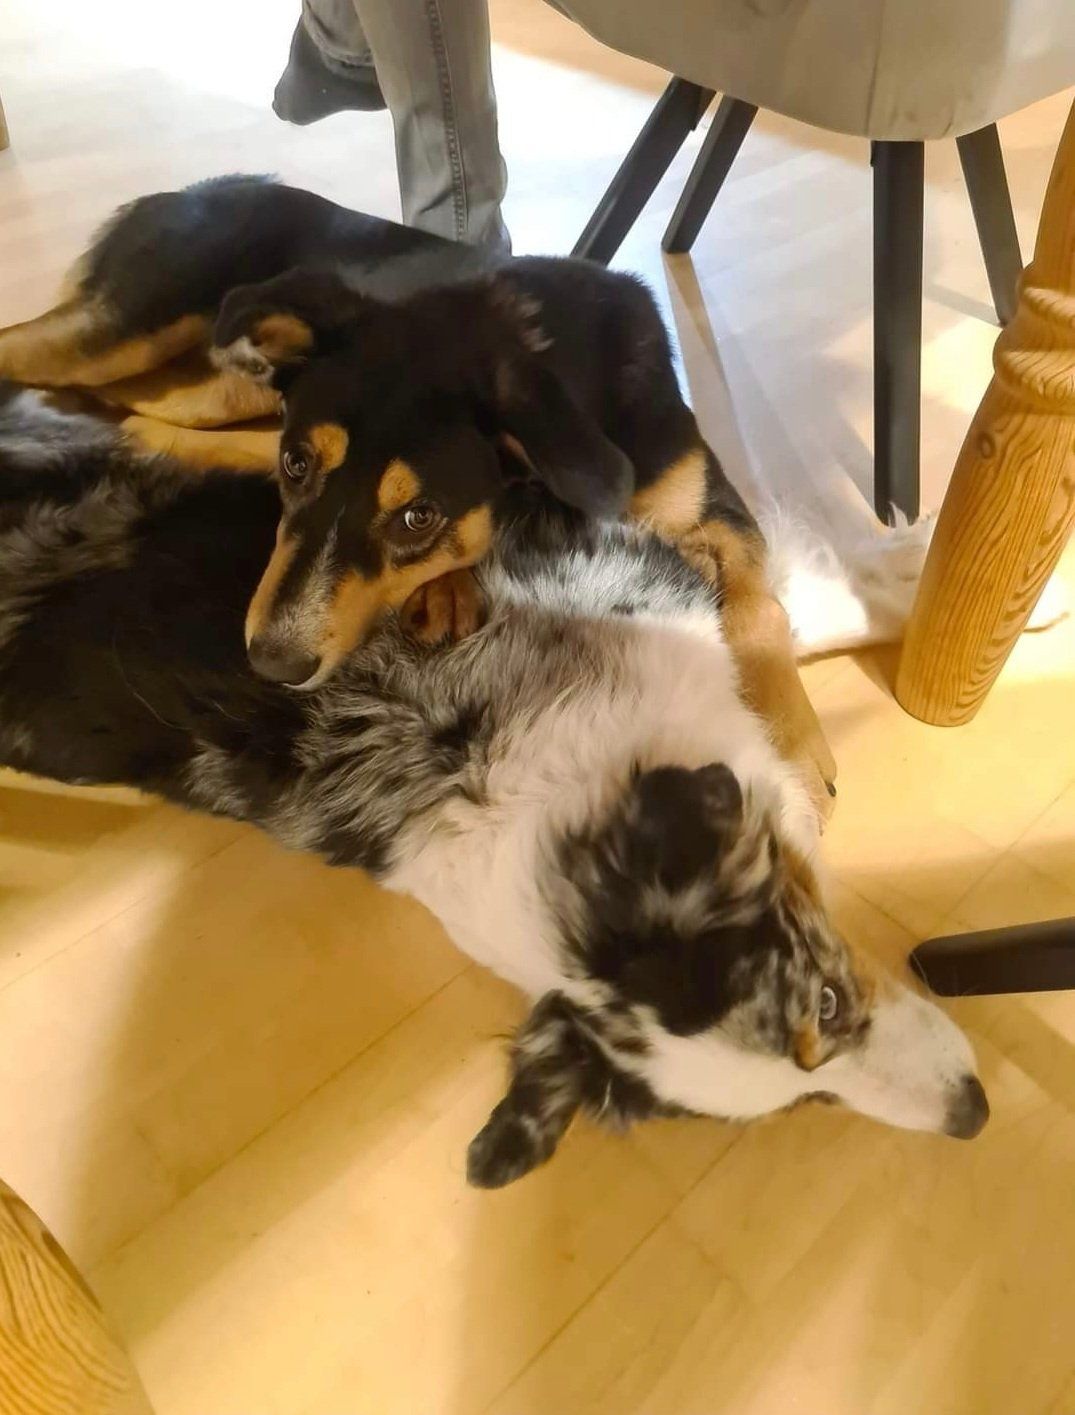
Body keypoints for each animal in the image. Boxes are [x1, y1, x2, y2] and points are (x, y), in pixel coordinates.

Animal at [0, 176, 837, 816]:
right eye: (297, 465)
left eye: (418, 514)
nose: (270, 663)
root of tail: (179, 191)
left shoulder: (712, 509)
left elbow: (760, 611)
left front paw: (792, 748)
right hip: (128, 331)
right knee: (36, 353)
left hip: (216, 385)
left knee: (138, 415)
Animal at [0, 389, 988, 1185]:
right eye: (803, 1095)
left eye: (827, 999)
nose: (974, 1112)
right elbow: (783, 614)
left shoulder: (609, 562)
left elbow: (775, 613)